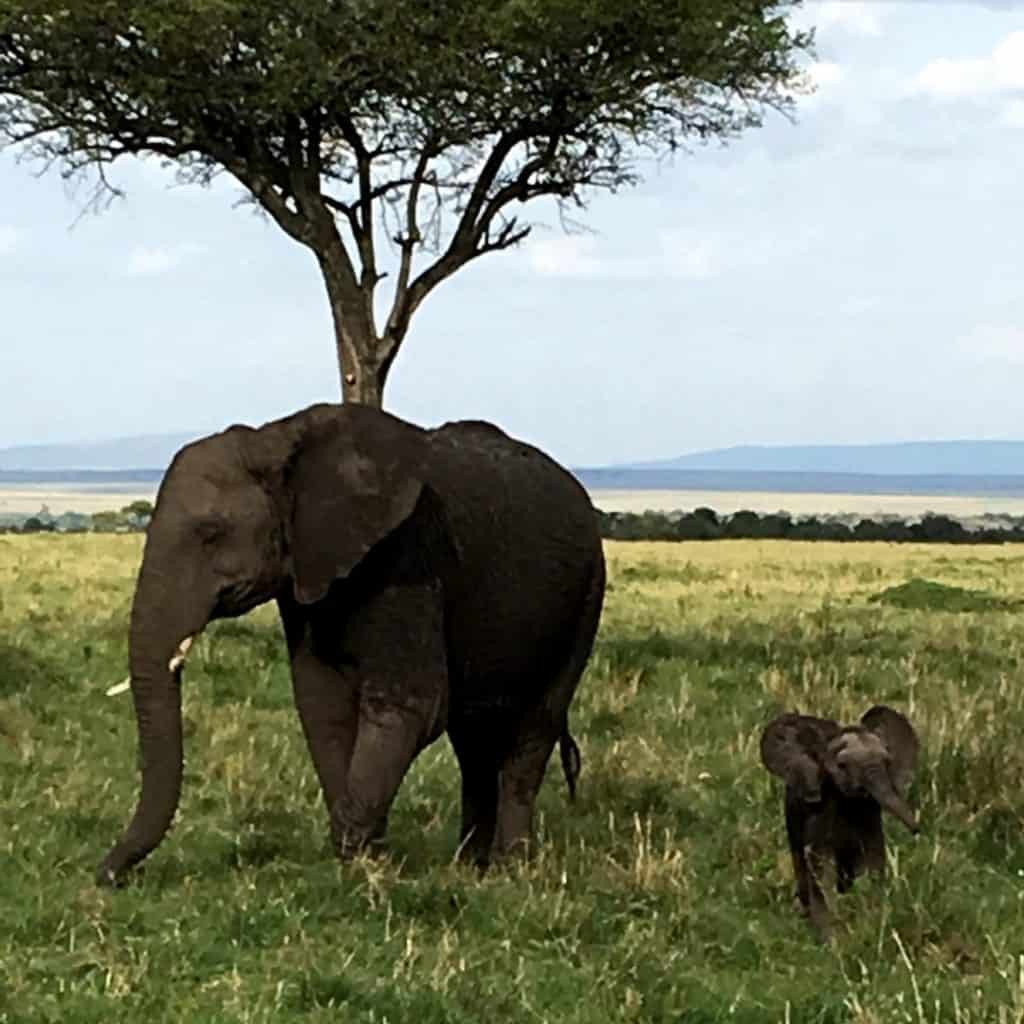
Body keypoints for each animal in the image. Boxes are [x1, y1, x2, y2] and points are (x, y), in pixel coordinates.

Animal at [96, 403, 602, 884]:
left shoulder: (410, 554)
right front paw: (366, 863)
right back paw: (467, 866)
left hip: (586, 594)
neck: (276, 441)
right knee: (472, 739)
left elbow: (410, 706)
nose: (110, 875)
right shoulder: (307, 577)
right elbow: (322, 703)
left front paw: (359, 865)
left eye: (210, 534)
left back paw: (511, 868)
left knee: (533, 728)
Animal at [761, 708, 921, 937]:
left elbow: (872, 857)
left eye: (887, 762)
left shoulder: (870, 815)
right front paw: (832, 936)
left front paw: (870, 918)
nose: (918, 829)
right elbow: (821, 862)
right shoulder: (820, 810)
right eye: (842, 765)